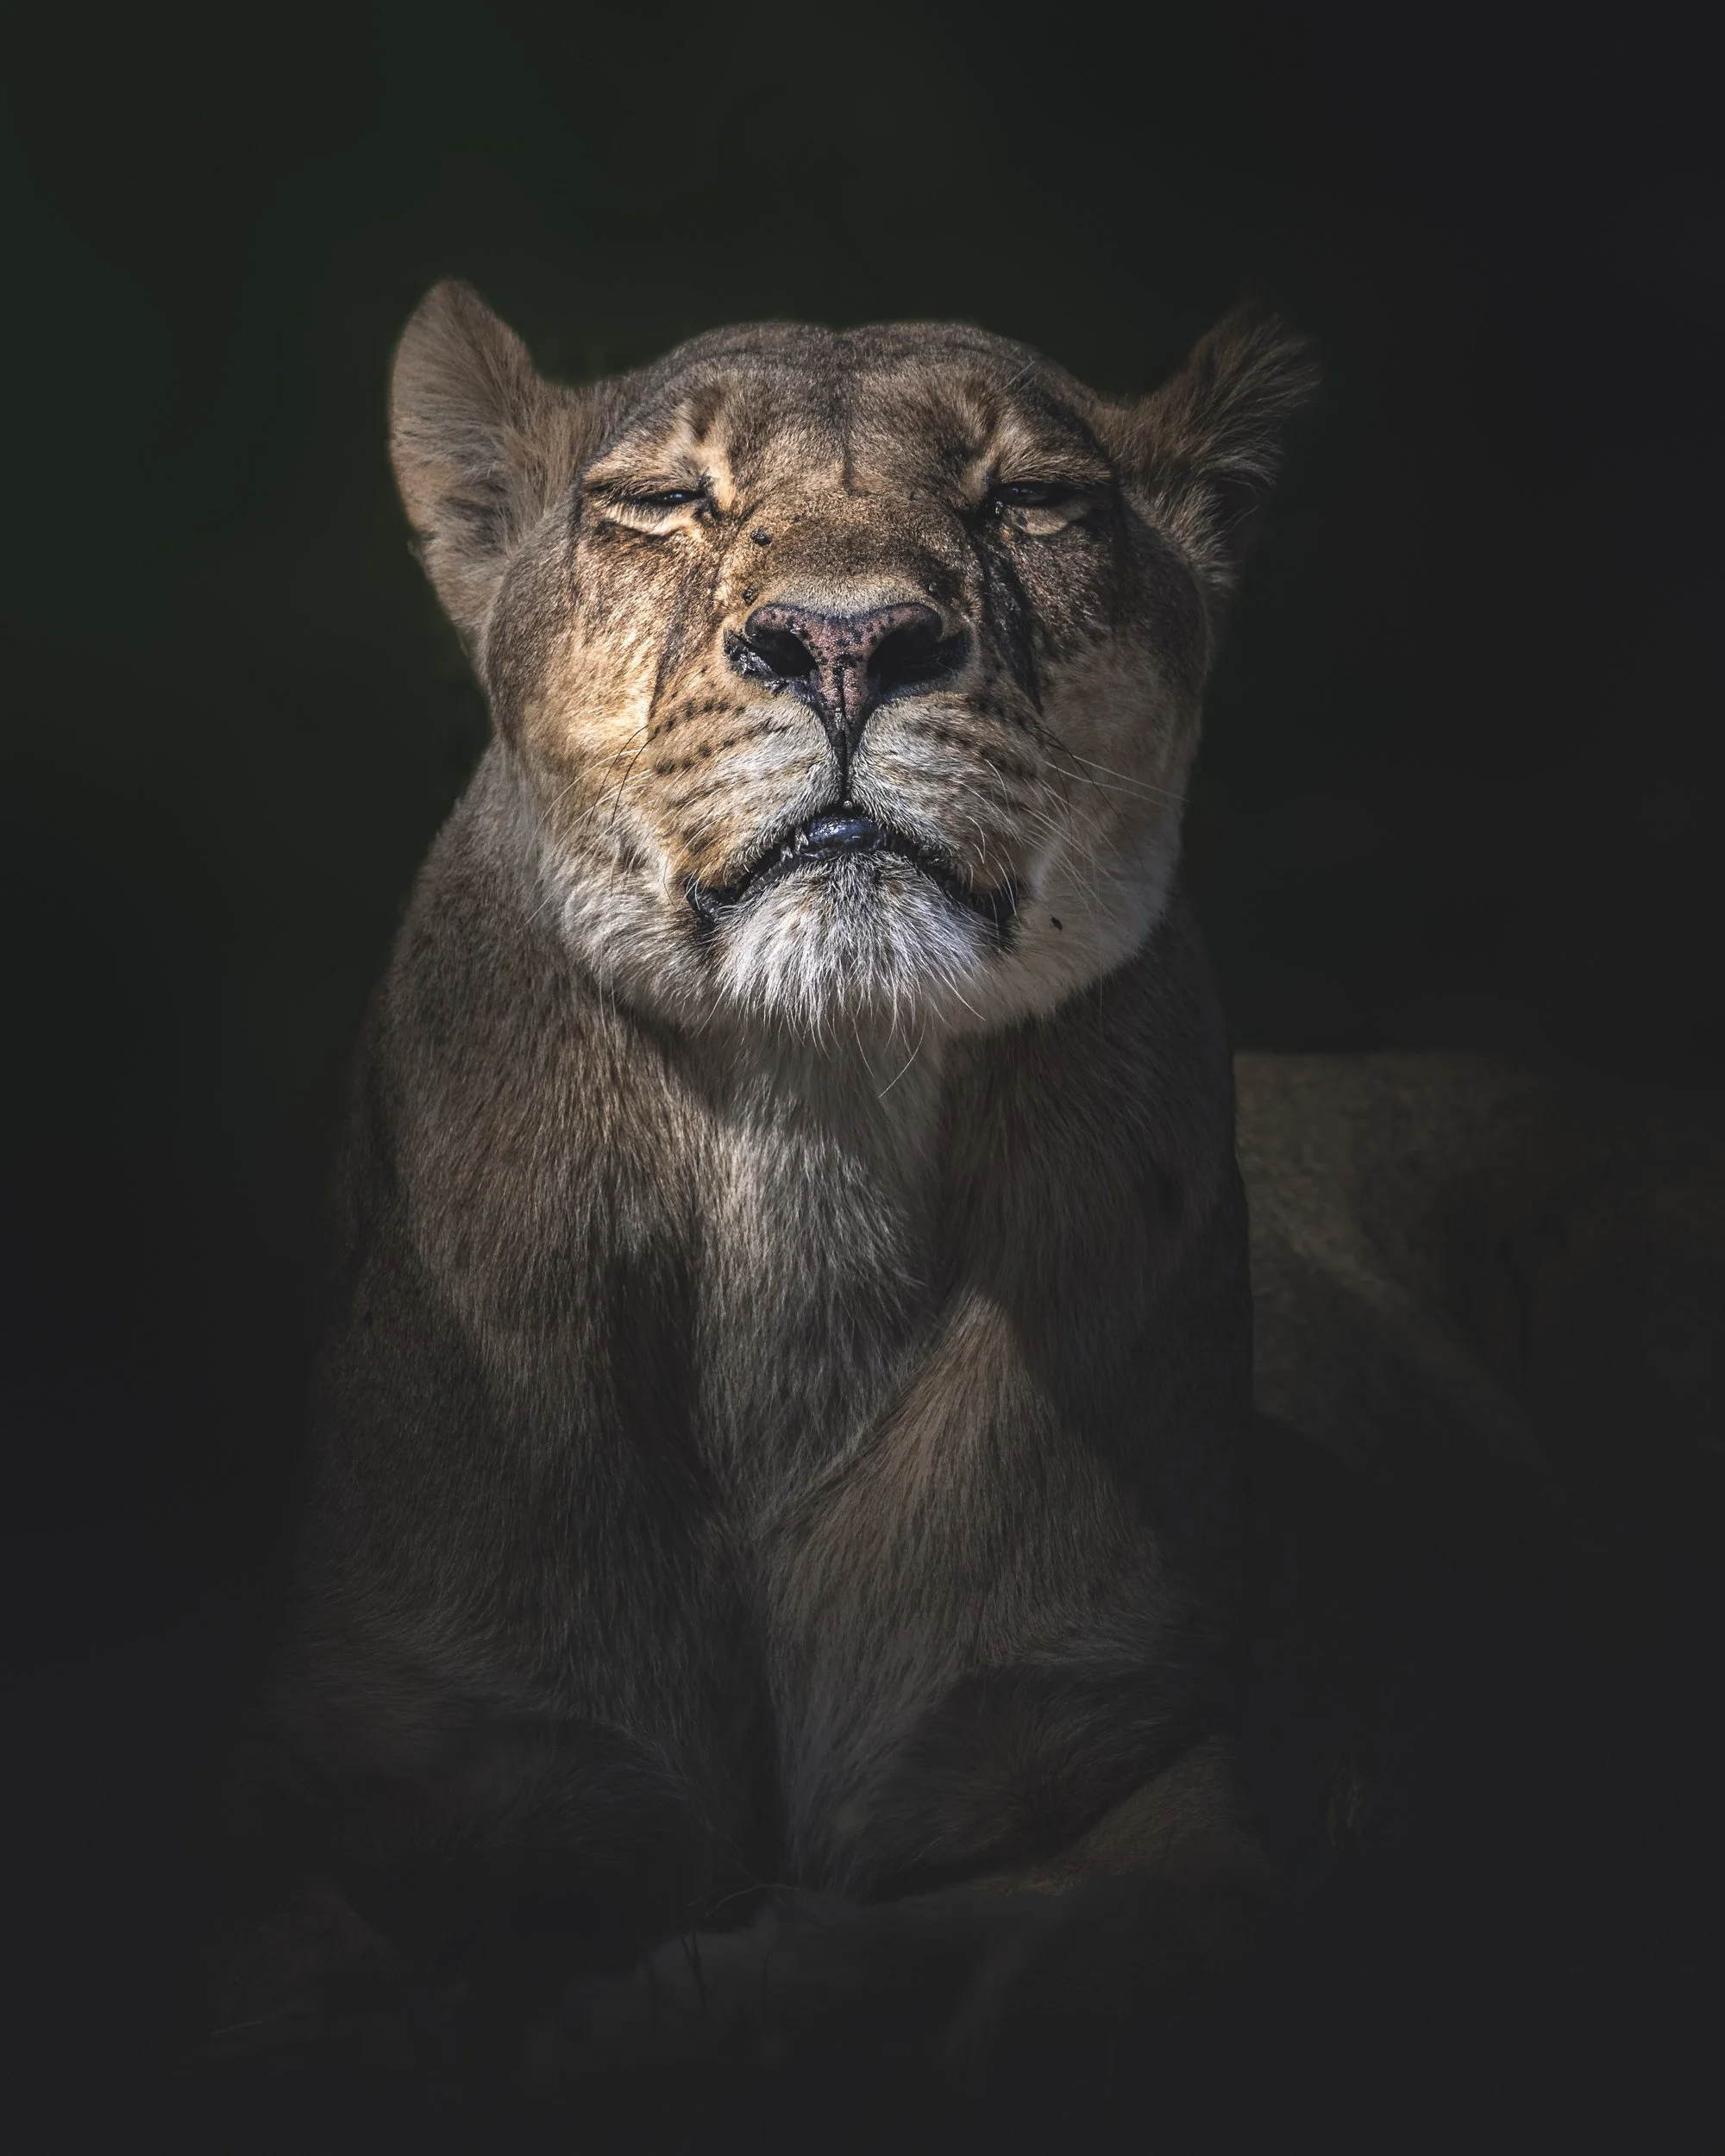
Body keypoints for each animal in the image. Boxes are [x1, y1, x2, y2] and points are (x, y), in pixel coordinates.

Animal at [212, 282, 1323, 2079]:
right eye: (666, 501)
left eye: (1032, 502)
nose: (847, 642)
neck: (809, 1137)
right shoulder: (372, 1750)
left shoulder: (1141, 1739)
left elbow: (1085, 1937)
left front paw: (709, 1992)